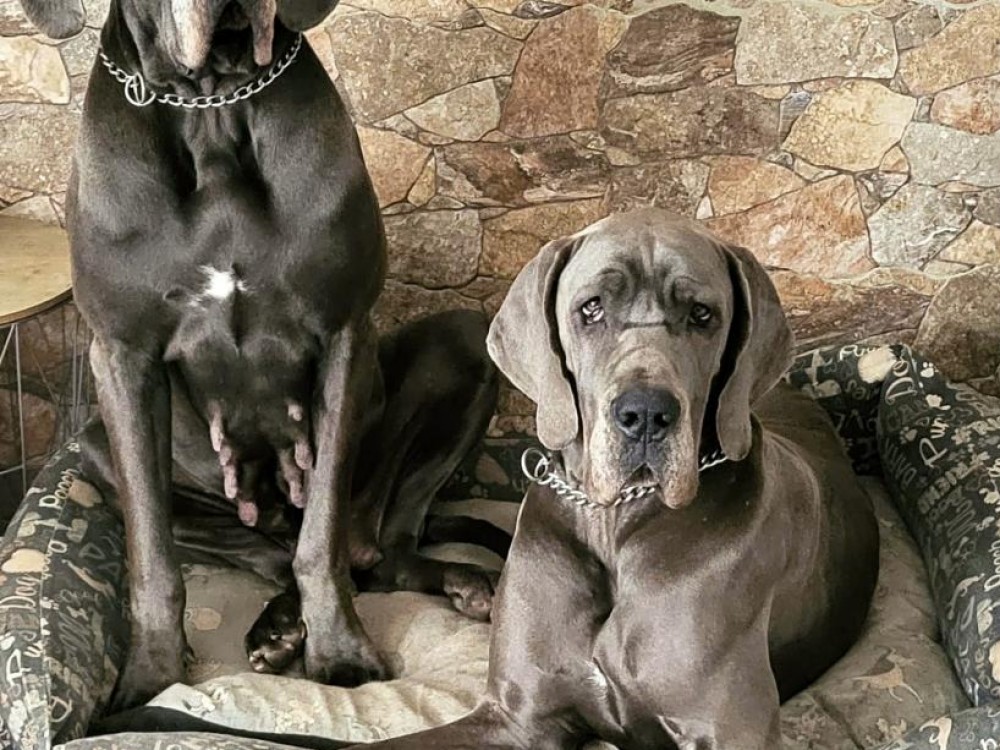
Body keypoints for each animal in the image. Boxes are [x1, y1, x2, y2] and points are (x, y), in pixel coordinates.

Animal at [17, 0, 500, 711]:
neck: (210, 105)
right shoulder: (123, 355)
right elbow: (152, 557)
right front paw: (152, 674)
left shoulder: (344, 335)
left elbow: (322, 541)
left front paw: (340, 653)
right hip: (95, 444)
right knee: (271, 549)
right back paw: (278, 626)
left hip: (466, 342)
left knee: (372, 548)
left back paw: (452, 585)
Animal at [94, 209, 879, 748]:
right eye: (590, 308)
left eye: (703, 315)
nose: (645, 415)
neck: (614, 525)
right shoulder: (515, 716)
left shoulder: (726, 731)